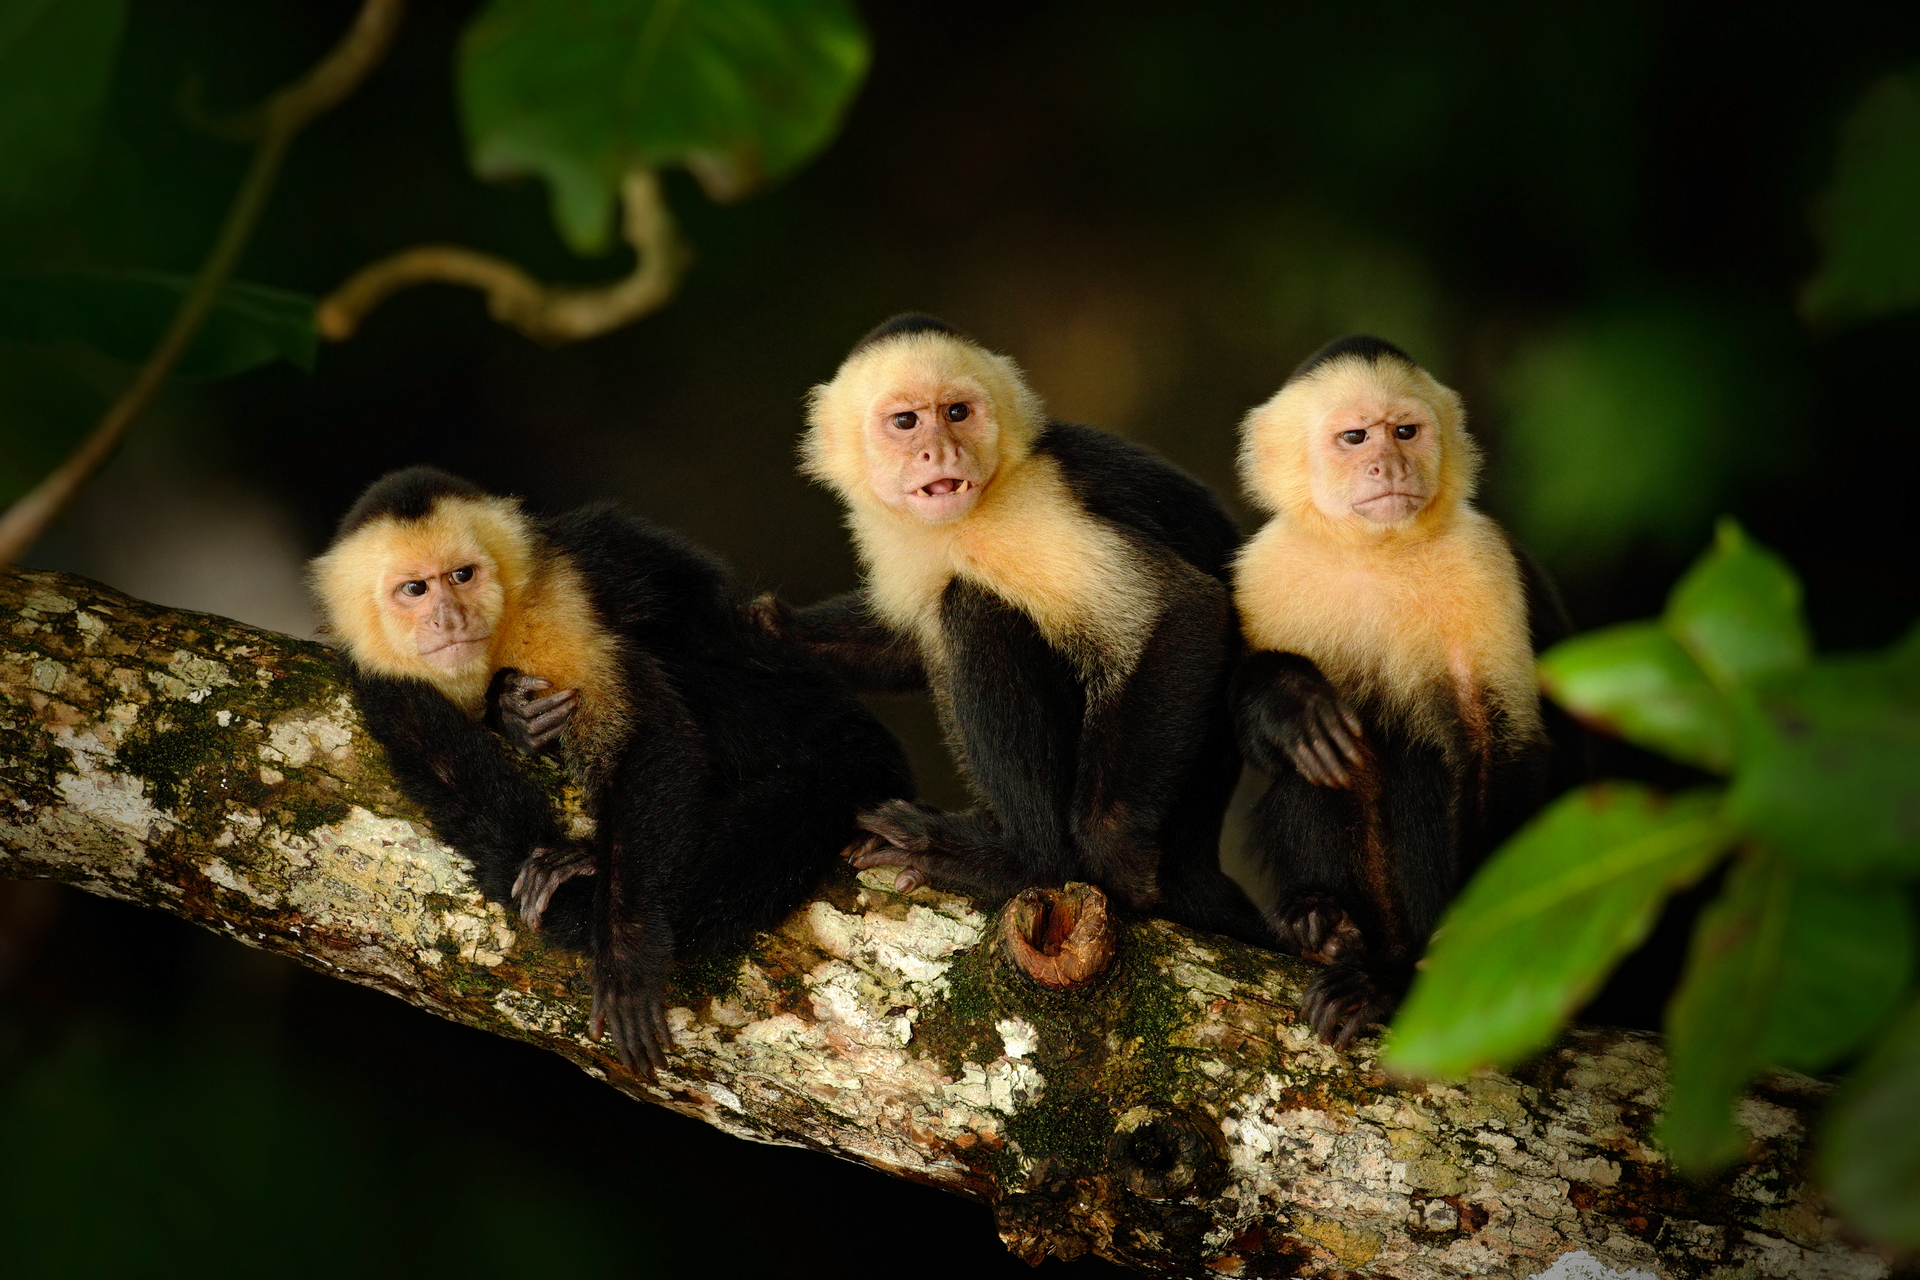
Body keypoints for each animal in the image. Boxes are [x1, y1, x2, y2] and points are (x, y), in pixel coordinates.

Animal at [309, 467, 914, 1075]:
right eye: (415, 590)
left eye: (463, 575)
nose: (449, 617)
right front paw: (513, 714)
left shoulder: (555, 599)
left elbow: (649, 734)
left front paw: (626, 951)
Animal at [757, 313, 1275, 947]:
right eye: (906, 422)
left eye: (957, 412)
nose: (940, 451)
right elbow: (900, 642)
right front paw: (771, 625)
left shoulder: (1029, 508)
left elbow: (1183, 608)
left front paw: (1106, 851)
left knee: (971, 605)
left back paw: (1020, 856)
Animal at [1230, 335, 1579, 1047]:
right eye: (1355, 437)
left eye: (1405, 432)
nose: (1388, 464)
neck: (1376, 552)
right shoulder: (1265, 569)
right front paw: (1289, 701)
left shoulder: (1482, 561)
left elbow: (1496, 742)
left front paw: (1458, 956)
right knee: (1326, 761)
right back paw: (1327, 927)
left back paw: (1388, 978)